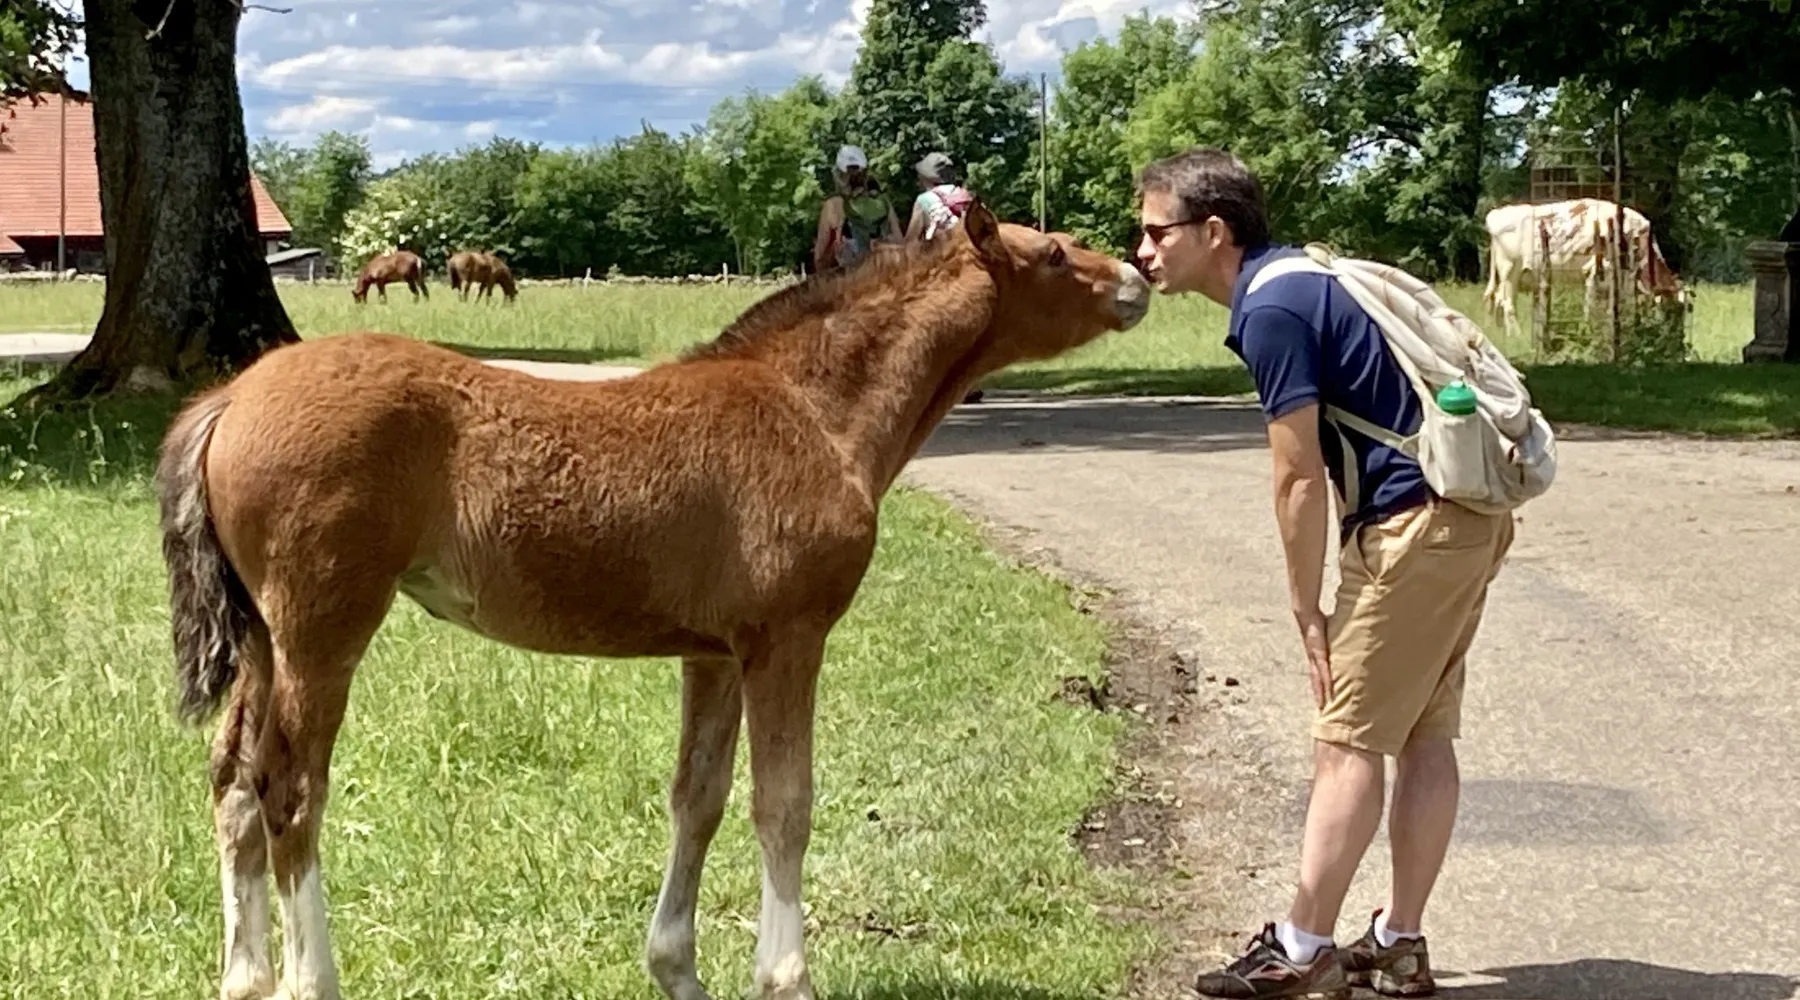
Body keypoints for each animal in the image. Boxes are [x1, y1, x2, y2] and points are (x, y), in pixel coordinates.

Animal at [153, 202, 1150, 1000]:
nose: (1137, 276)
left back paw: (244, 979)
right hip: (323, 628)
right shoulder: (788, 639)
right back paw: (307, 979)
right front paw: (784, 977)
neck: (812, 411)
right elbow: (783, 805)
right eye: (1052, 254)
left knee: (232, 781)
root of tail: (229, 399)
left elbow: (697, 799)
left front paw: (677, 968)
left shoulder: (714, 652)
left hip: (264, 637)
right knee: (289, 792)